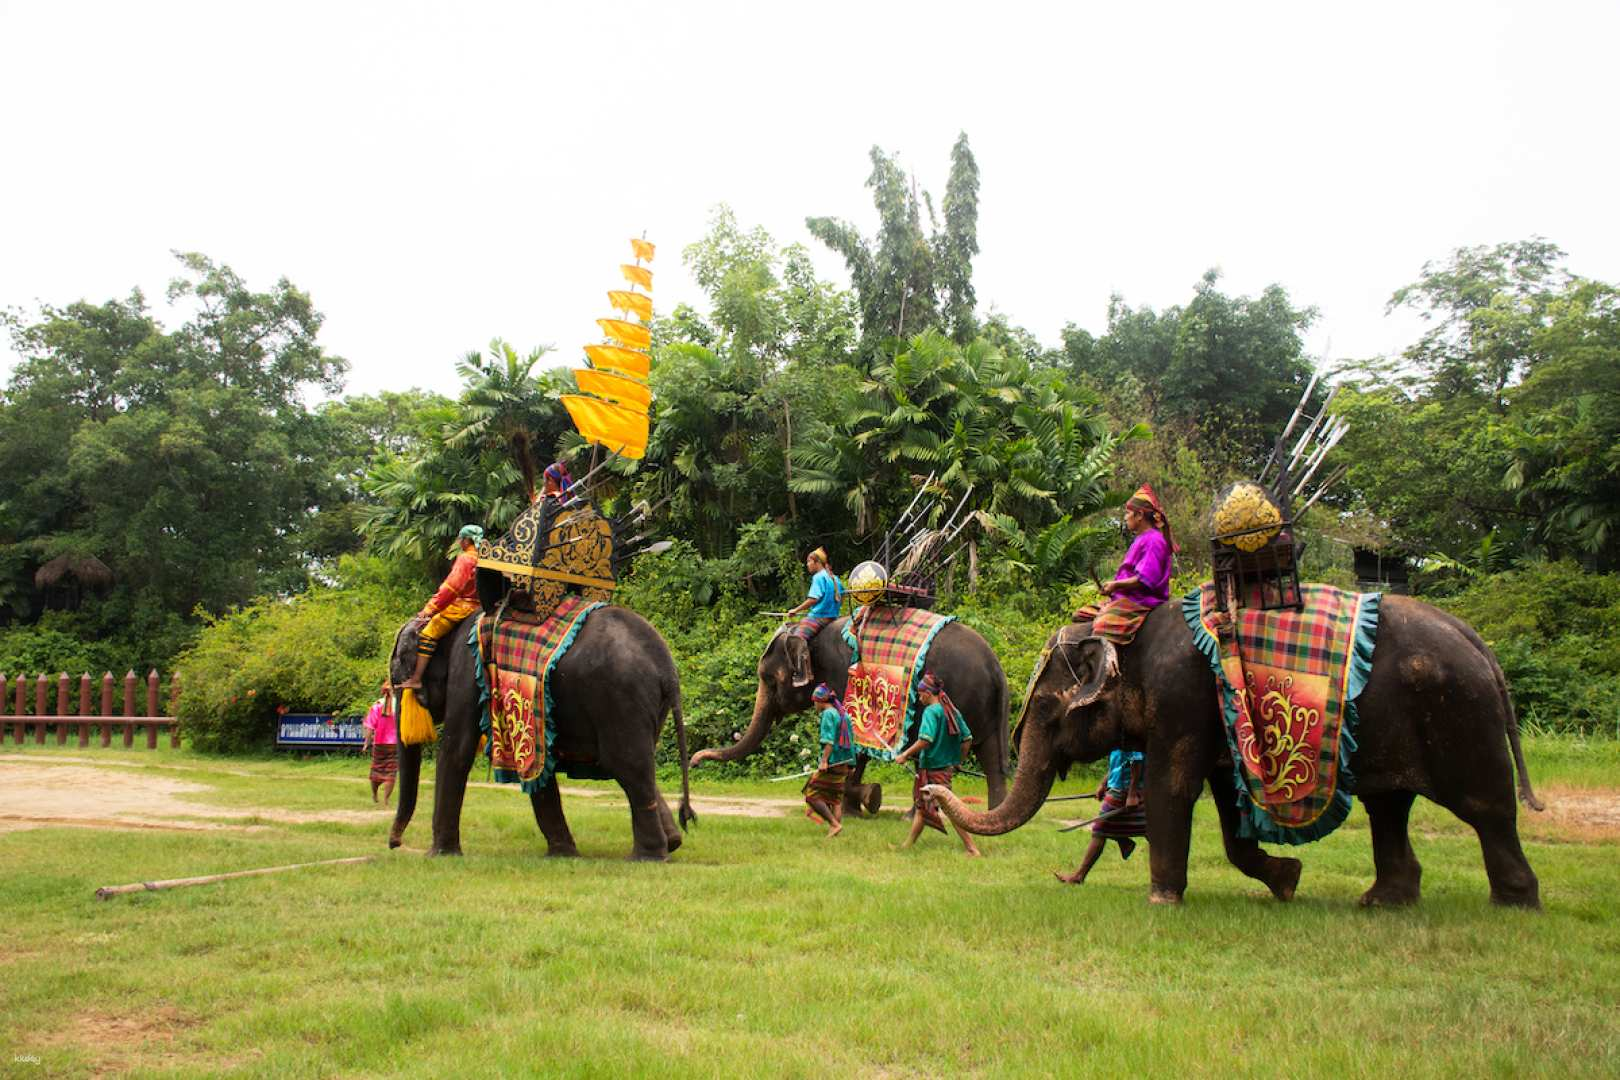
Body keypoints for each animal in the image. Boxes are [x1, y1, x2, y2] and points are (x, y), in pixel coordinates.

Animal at [387, 606, 696, 861]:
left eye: (397, 669)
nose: (394, 843)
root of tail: (667, 669)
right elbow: (539, 770)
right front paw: (563, 855)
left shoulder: (467, 667)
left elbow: (456, 749)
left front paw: (437, 856)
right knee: (639, 765)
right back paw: (672, 843)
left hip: (620, 698)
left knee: (627, 766)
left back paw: (646, 857)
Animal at [690, 617, 1011, 811]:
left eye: (768, 678)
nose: (693, 762)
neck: (812, 634)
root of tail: (996, 667)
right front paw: (862, 799)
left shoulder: (842, 678)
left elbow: (851, 742)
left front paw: (853, 802)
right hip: (984, 709)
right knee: (991, 758)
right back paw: (993, 816)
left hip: (956, 700)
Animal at [928, 596, 1544, 907]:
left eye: (1049, 711)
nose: (933, 789)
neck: (1131, 635)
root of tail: (1479, 643)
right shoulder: (1219, 718)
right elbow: (1227, 810)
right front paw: (1288, 880)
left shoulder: (1182, 694)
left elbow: (1174, 787)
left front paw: (1161, 900)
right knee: (1388, 807)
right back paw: (1382, 902)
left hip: (1460, 713)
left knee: (1485, 807)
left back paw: (1514, 902)